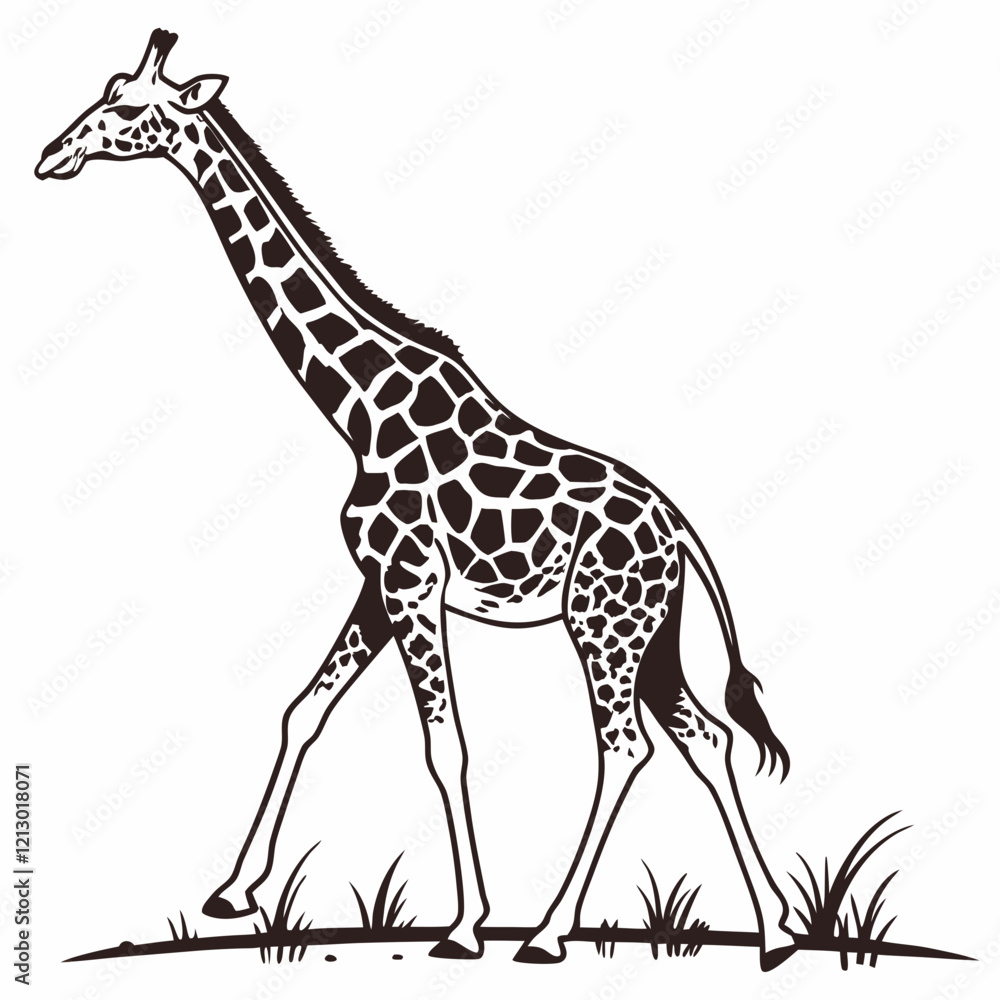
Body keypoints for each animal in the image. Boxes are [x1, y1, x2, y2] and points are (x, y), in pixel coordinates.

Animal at [35, 29, 798, 969]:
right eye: (105, 88)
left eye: (130, 109)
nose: (50, 155)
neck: (358, 407)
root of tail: (680, 530)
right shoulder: (377, 585)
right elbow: (302, 711)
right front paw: (233, 891)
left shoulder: (410, 583)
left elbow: (445, 745)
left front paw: (465, 925)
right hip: (650, 636)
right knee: (707, 737)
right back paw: (775, 929)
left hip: (604, 626)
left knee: (625, 748)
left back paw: (547, 931)